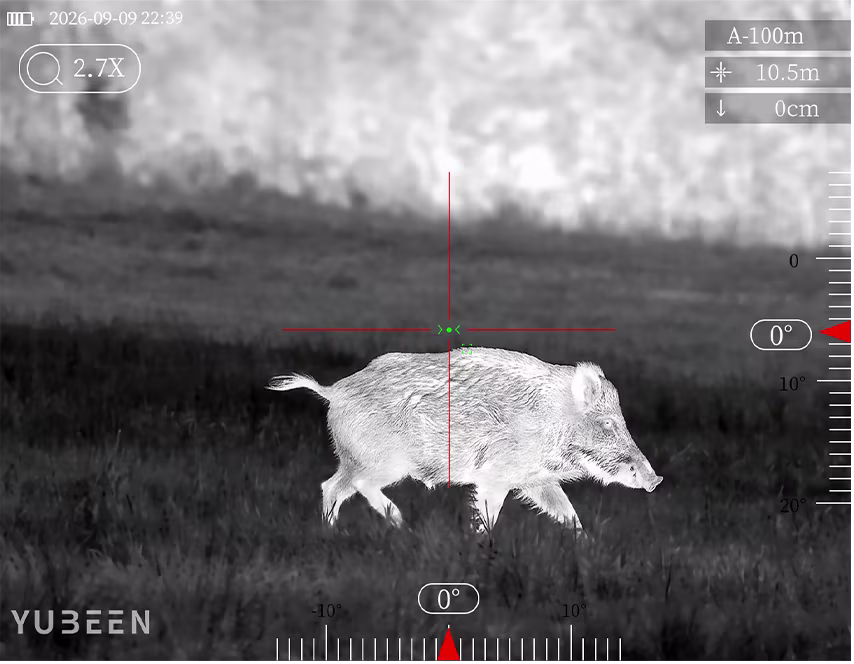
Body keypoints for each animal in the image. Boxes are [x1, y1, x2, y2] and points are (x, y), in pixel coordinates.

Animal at [267, 347, 662, 533]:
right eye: (608, 423)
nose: (655, 479)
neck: (555, 419)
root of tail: (333, 391)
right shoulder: (496, 475)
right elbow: (488, 515)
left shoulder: (536, 480)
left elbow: (569, 514)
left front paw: (585, 545)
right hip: (382, 461)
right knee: (343, 486)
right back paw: (396, 524)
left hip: (358, 460)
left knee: (333, 486)